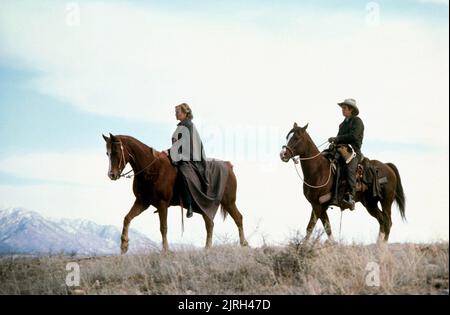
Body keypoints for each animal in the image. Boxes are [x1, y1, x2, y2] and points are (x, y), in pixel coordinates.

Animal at [103, 133, 248, 254]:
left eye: (116, 152)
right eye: (107, 153)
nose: (112, 175)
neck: (151, 169)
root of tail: (229, 166)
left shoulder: (162, 204)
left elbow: (163, 227)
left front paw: (165, 250)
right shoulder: (142, 202)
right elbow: (127, 218)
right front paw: (124, 246)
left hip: (228, 202)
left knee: (238, 218)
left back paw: (243, 244)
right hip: (207, 206)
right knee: (210, 224)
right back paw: (208, 248)